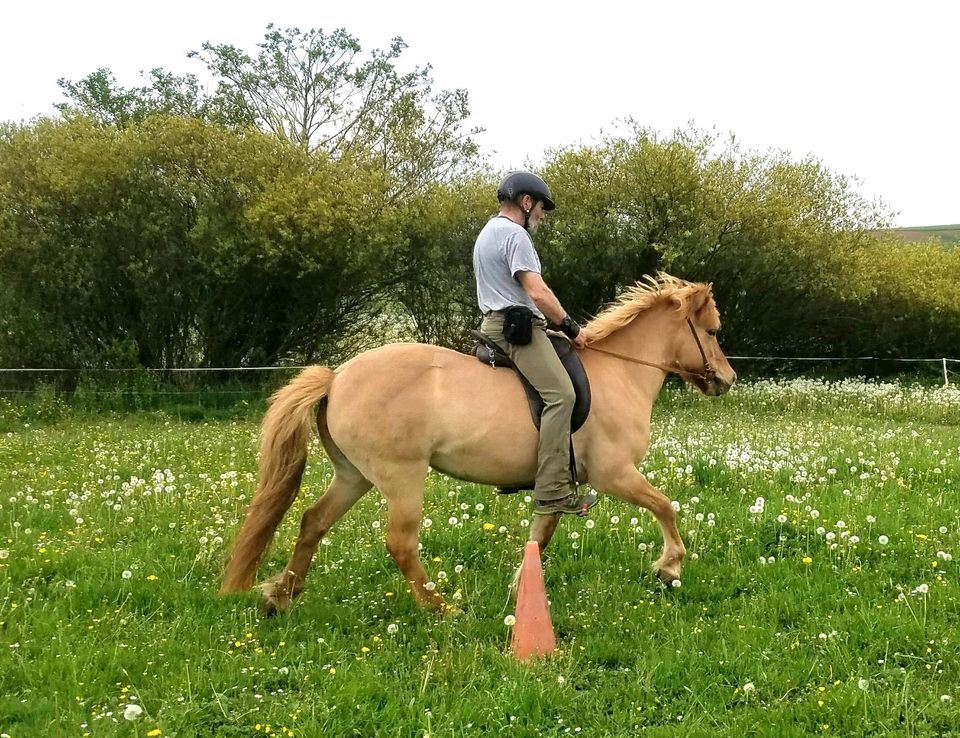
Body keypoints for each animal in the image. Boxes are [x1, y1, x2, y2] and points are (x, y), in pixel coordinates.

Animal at [223, 274, 736, 612]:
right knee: (400, 543)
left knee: (312, 522)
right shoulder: (615, 474)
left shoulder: (558, 480)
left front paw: (520, 588)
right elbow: (665, 505)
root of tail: (337, 375)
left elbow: (541, 533)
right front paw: (669, 566)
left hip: (354, 476)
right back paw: (438, 607)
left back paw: (280, 597)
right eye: (712, 332)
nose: (728, 379)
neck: (620, 371)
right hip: (402, 477)